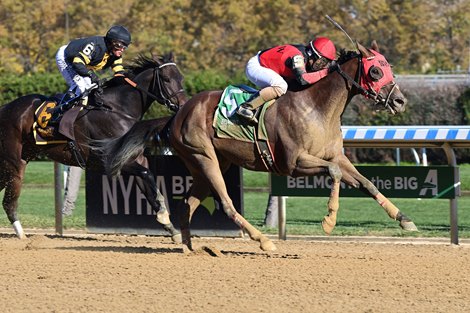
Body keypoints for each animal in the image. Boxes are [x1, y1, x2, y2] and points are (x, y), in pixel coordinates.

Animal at [0, 53, 187, 239]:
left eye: (181, 78)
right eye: (166, 78)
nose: (183, 105)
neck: (117, 110)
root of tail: (4, 108)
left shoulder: (135, 158)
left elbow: (149, 185)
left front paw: (170, 227)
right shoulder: (111, 160)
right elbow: (147, 175)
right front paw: (164, 214)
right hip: (15, 164)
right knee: (9, 203)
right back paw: (23, 237)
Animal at [101, 42, 416, 251]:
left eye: (388, 67)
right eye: (375, 71)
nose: (400, 101)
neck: (317, 108)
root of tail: (176, 115)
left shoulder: (337, 156)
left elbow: (367, 183)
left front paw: (404, 220)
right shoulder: (294, 163)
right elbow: (334, 174)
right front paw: (328, 221)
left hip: (208, 164)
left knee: (187, 203)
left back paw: (192, 247)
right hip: (205, 159)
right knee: (226, 204)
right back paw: (263, 241)